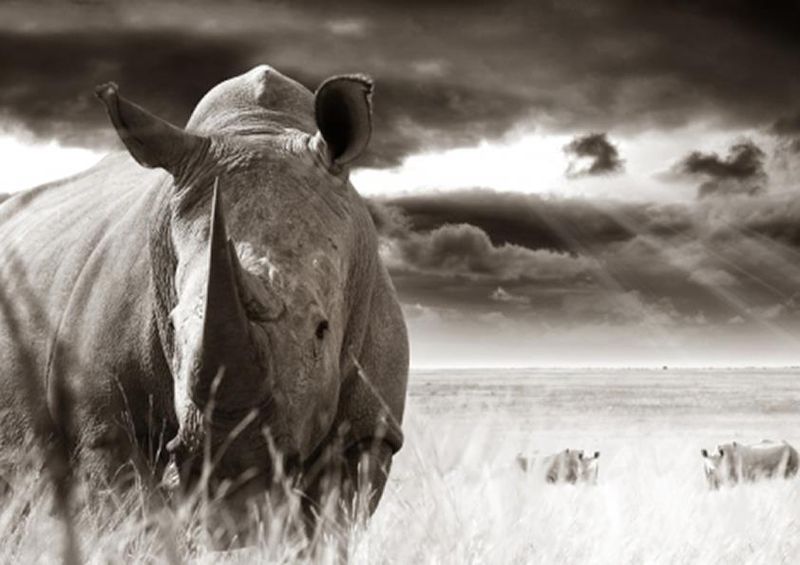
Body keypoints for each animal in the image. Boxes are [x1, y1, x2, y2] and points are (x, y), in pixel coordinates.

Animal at [0, 65, 408, 544]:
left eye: (322, 329)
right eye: (174, 326)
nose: (237, 458)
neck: (259, 128)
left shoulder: (370, 430)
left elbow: (327, 527)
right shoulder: (103, 426)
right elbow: (137, 524)